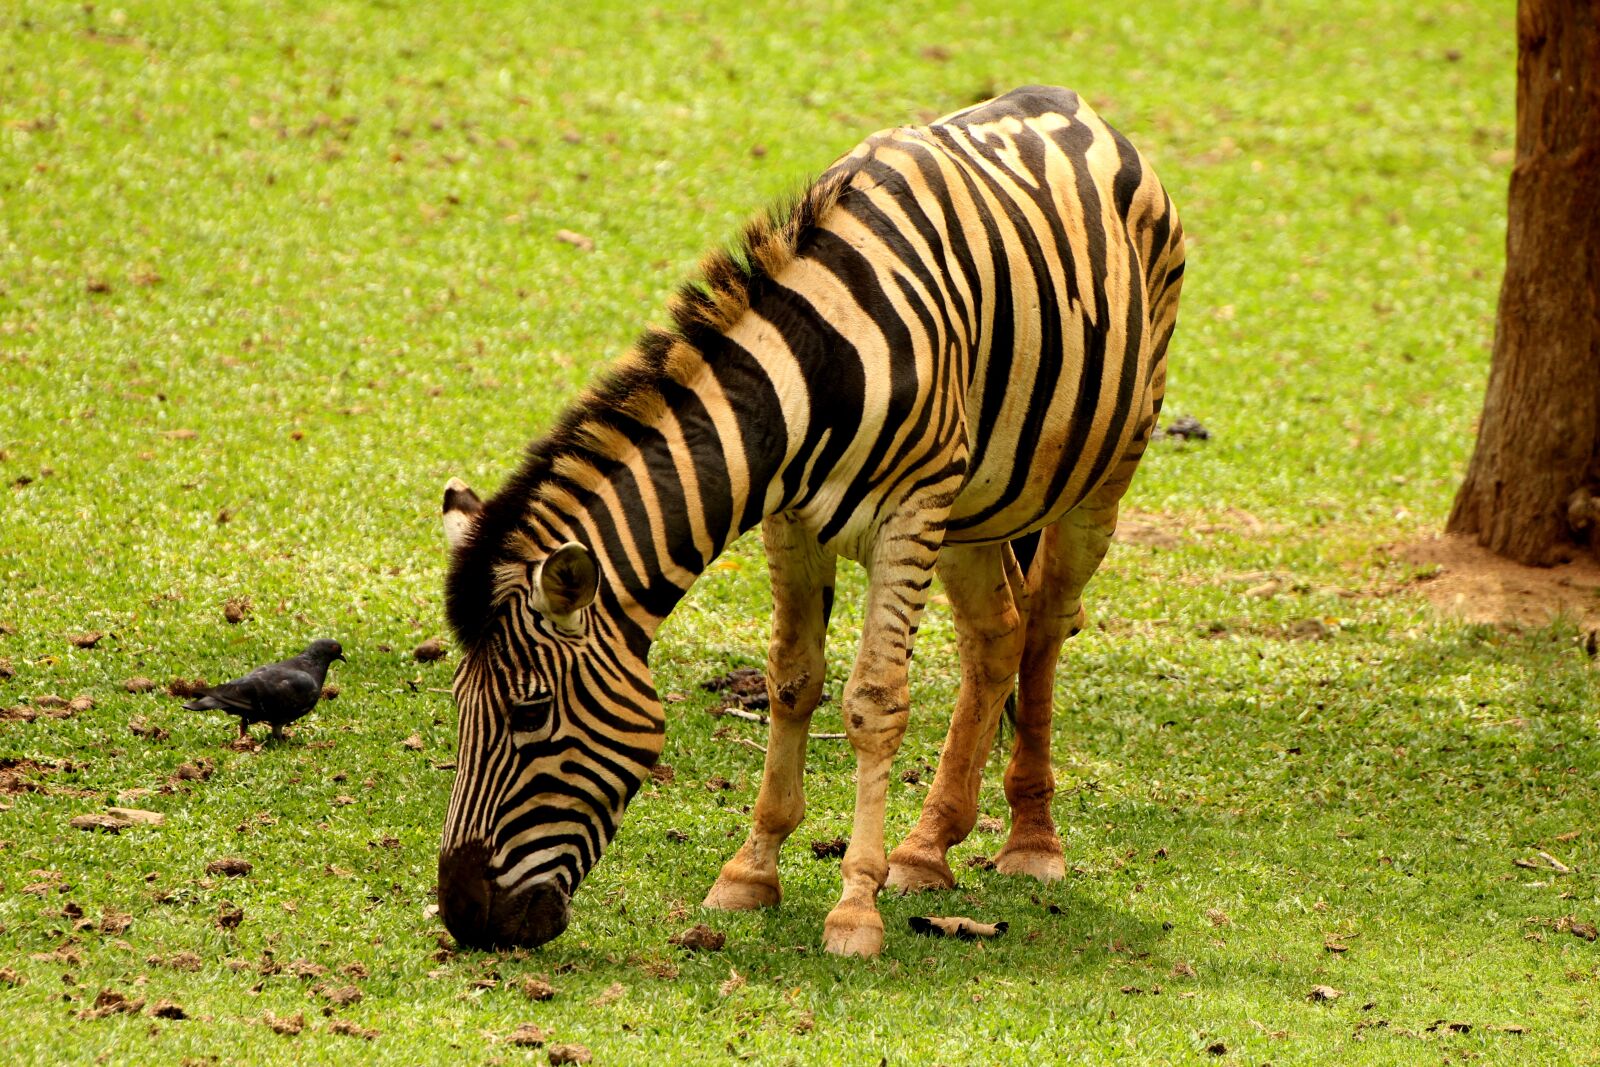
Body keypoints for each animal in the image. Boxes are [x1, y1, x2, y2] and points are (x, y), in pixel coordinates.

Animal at [438, 85, 1184, 957]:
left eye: (529, 714)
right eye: (460, 707)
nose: (463, 914)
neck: (815, 369)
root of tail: (1066, 100)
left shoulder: (909, 516)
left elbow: (874, 702)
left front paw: (855, 907)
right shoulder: (790, 522)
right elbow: (791, 683)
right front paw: (751, 870)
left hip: (1096, 479)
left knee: (1046, 628)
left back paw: (1031, 839)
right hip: (976, 503)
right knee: (996, 634)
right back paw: (927, 847)